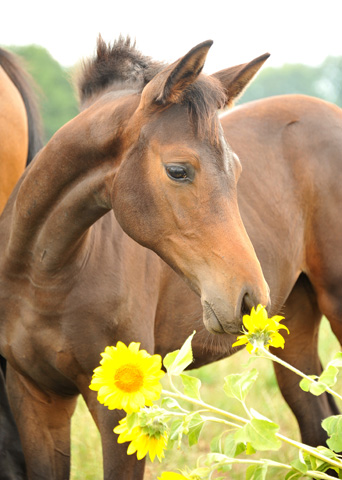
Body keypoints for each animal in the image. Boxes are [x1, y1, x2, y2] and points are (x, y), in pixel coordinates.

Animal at [0, 35, 340, 478]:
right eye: (178, 170)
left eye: (237, 171)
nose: (250, 300)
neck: (45, 275)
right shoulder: (34, 396)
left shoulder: (117, 406)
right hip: (295, 326)